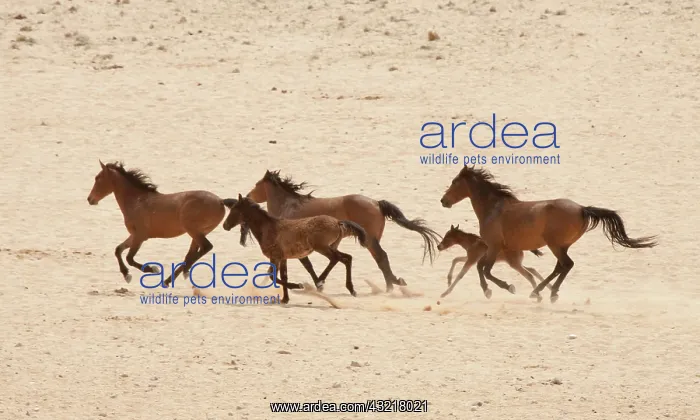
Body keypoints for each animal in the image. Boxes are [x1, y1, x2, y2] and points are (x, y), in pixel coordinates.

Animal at [87, 160, 235, 289]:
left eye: (98, 178)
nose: (90, 199)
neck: (136, 201)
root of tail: (220, 201)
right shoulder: (134, 235)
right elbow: (118, 250)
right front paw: (126, 274)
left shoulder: (140, 236)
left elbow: (129, 258)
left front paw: (152, 269)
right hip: (198, 232)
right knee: (193, 253)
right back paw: (176, 276)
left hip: (193, 230)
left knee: (205, 247)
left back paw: (172, 277)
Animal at [222, 194, 369, 304]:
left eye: (235, 209)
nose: (225, 225)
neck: (269, 228)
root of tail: (338, 222)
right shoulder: (283, 258)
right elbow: (283, 276)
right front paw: (285, 299)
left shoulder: (275, 257)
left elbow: (273, 277)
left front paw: (298, 286)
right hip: (331, 246)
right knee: (347, 258)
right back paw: (350, 289)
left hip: (322, 247)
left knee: (337, 259)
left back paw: (320, 282)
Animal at [243, 169, 442, 293]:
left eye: (257, 184)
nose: (247, 196)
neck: (289, 206)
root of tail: (377, 203)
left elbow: (301, 266)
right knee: (379, 259)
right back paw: (394, 283)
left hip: (369, 240)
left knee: (381, 258)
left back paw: (390, 287)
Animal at [440, 166, 658, 303]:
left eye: (455, 182)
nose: (443, 201)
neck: (493, 209)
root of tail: (582, 209)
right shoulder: (494, 249)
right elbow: (480, 268)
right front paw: (490, 291)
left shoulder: (493, 246)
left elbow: (485, 270)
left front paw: (503, 288)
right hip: (561, 246)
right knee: (561, 267)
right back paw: (543, 292)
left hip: (555, 245)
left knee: (565, 265)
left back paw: (545, 293)